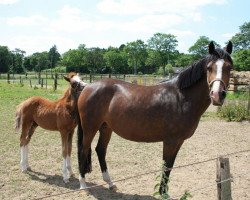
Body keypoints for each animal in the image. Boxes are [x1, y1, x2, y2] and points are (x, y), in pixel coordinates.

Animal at [73, 41, 232, 194]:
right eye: (209, 68)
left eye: (229, 68)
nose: (217, 95)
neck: (181, 97)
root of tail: (88, 87)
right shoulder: (170, 141)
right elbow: (166, 167)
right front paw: (162, 193)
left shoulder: (178, 142)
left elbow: (169, 167)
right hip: (90, 127)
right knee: (83, 150)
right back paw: (83, 186)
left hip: (106, 127)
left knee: (100, 150)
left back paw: (111, 184)